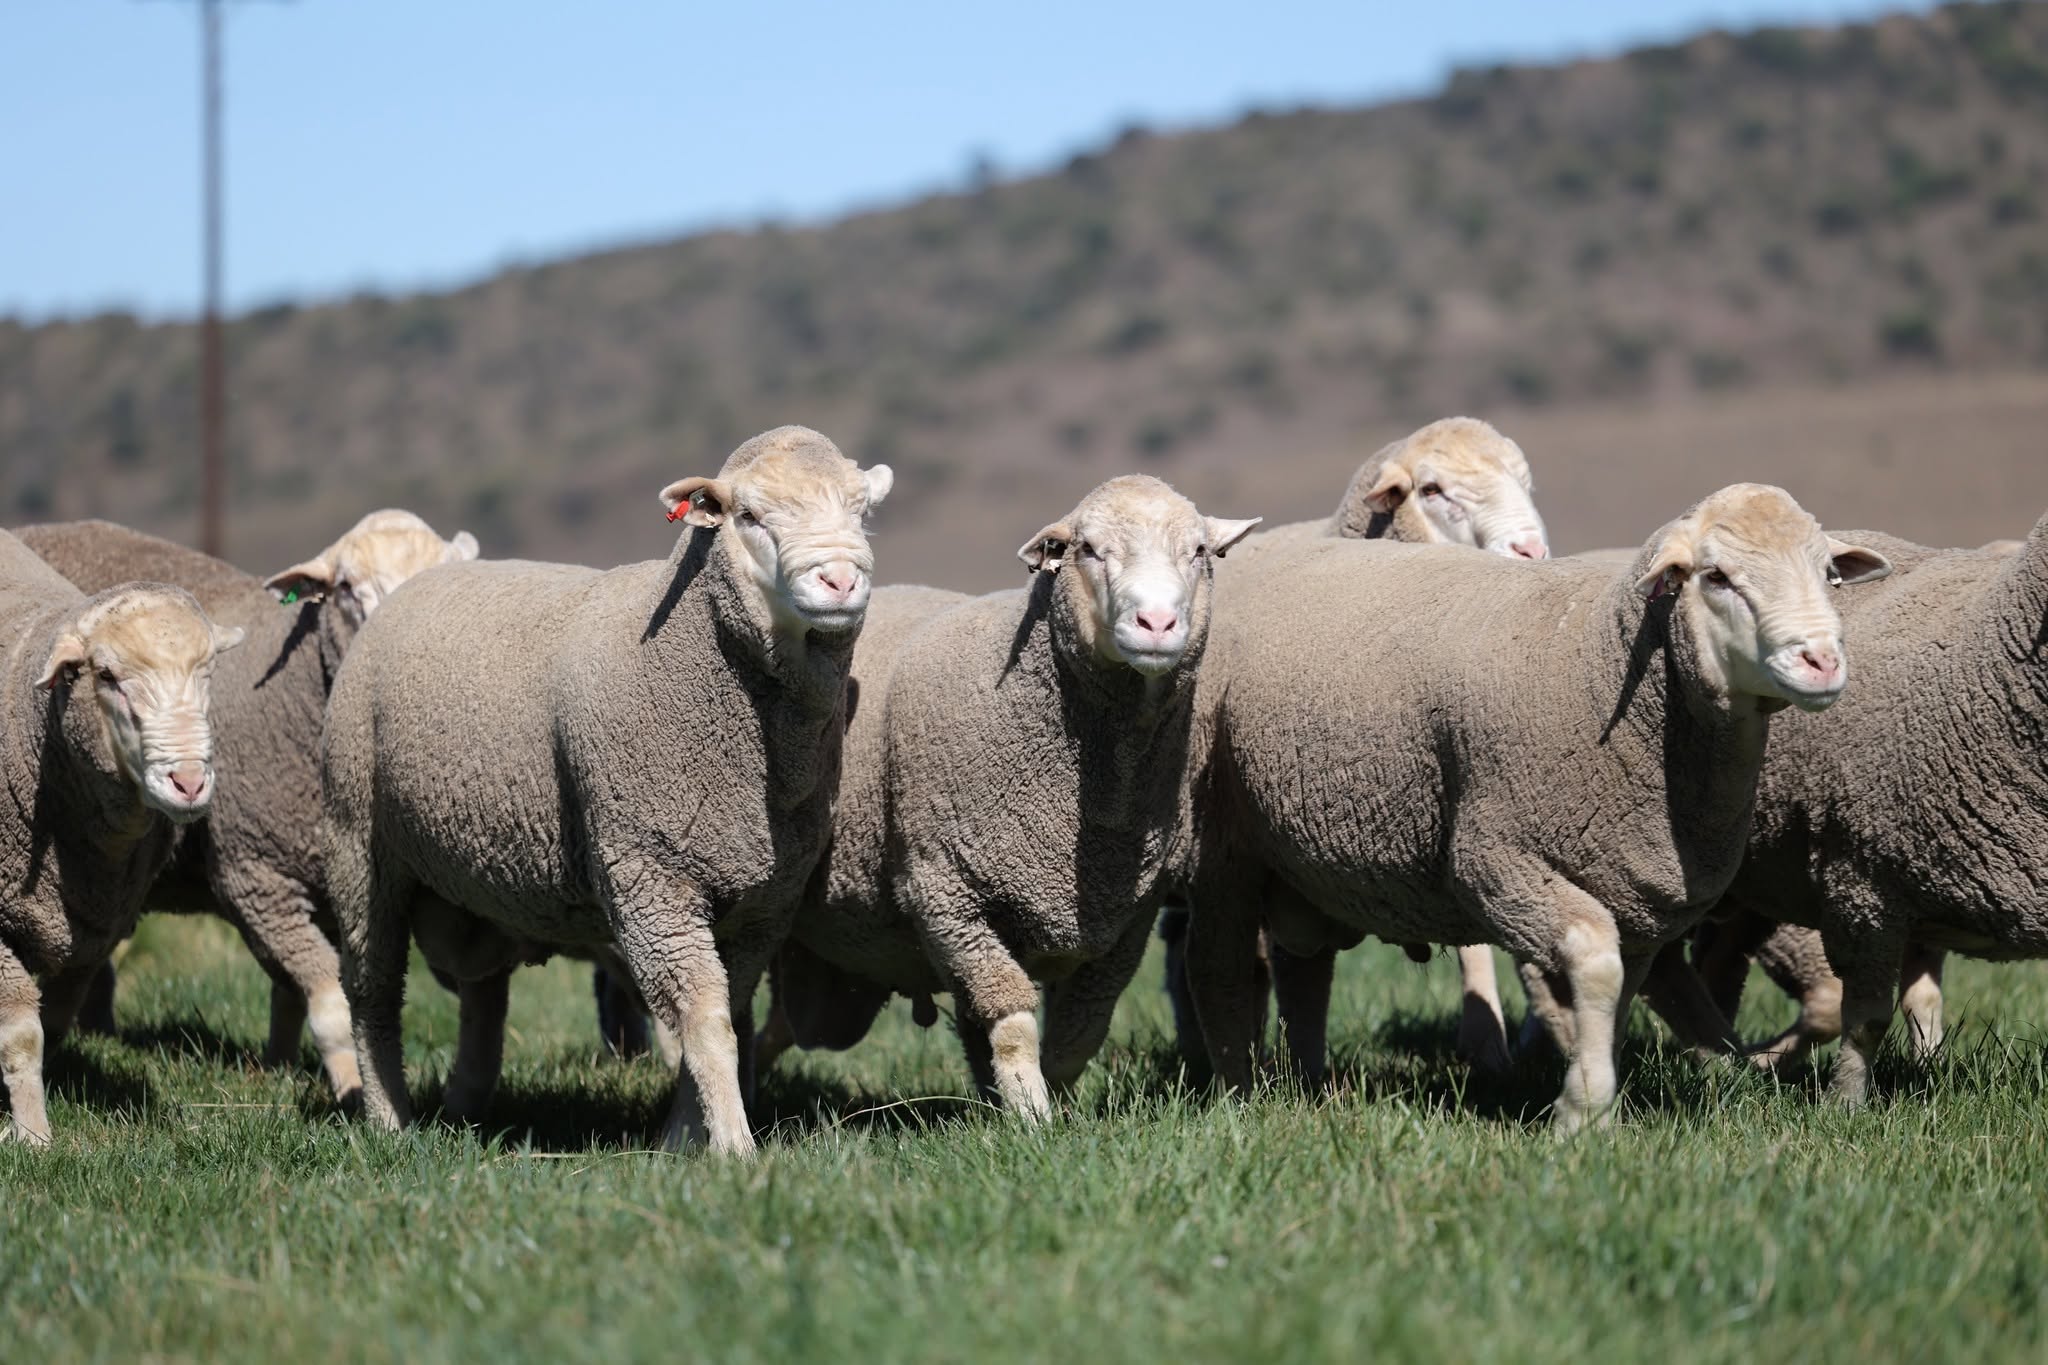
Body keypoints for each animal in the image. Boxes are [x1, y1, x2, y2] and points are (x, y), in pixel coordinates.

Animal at [0, 529, 243, 1144]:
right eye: (107, 676)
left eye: (209, 673)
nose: (189, 781)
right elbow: (22, 1035)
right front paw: (34, 1137)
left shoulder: (92, 923)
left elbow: (56, 1021)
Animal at [15, 512, 477, 1102]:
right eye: (346, 588)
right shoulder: (254, 874)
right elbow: (328, 1004)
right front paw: (350, 1089)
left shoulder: (329, 889)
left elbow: (292, 992)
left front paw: (280, 1064)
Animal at [321, 427, 891, 1154]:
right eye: (749, 515)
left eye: (862, 511)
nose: (841, 579)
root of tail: (418, 583)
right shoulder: (650, 872)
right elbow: (704, 1020)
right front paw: (733, 1147)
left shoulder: (765, 899)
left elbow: (729, 1012)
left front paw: (682, 1136)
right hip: (359, 844)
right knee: (372, 991)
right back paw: (389, 1120)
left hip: (473, 874)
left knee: (482, 994)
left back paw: (465, 1106)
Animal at [766, 477, 1259, 1116]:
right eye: (1087, 550)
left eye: (1199, 551)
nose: (1156, 622)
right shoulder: (947, 895)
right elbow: (1014, 1025)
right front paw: (1033, 1119)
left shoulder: (1127, 920)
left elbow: (1078, 1036)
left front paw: (1058, 1104)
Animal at [1181, 485, 1890, 1130]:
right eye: (1716, 576)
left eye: (1828, 574)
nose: (1822, 661)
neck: (1601, 664)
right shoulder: (1497, 864)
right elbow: (1595, 963)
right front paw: (1582, 1111)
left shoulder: (1632, 898)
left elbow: (1618, 992)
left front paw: (1594, 1095)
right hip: (1227, 851)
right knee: (1219, 970)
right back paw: (1240, 1095)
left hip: (1301, 865)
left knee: (1304, 965)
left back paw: (1307, 1086)